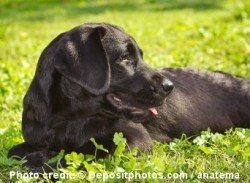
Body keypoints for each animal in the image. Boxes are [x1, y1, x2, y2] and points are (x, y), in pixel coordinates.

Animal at [8, 23, 250, 170]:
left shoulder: (135, 139)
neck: (70, 118)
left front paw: (43, 161)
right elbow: (14, 150)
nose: (169, 86)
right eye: (125, 57)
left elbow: (83, 153)